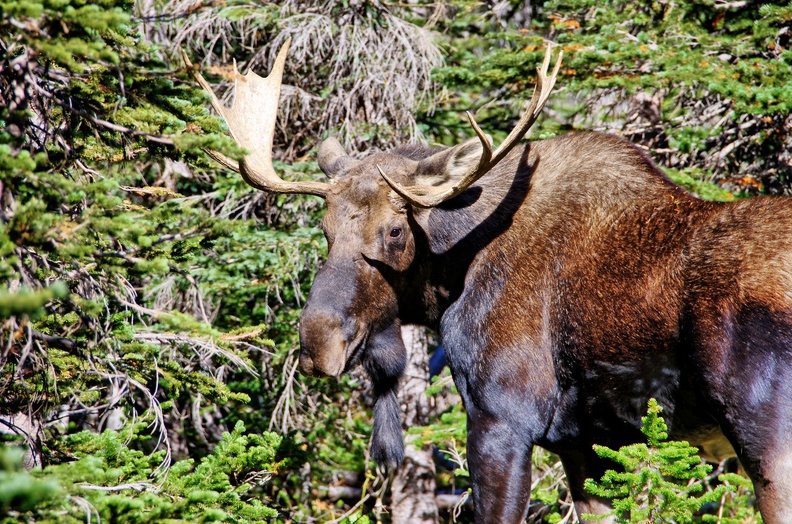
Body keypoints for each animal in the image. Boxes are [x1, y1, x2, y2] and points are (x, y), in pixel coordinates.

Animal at [184, 41, 792, 524]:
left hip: (767, 440)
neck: (452, 276)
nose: (317, 342)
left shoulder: (502, 419)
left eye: (395, 232)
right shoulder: (588, 445)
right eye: (326, 229)